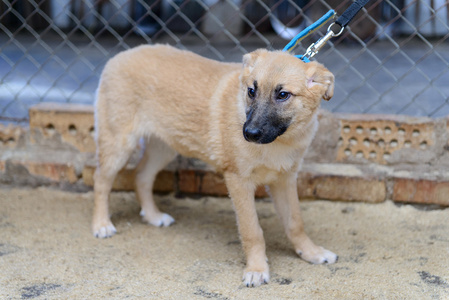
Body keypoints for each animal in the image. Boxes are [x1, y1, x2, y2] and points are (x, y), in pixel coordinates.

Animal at [93, 44, 336, 286]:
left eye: (283, 95)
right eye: (251, 91)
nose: (249, 133)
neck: (281, 141)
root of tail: (121, 55)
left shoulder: (285, 179)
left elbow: (295, 222)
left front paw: (311, 252)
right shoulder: (238, 181)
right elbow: (252, 230)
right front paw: (257, 268)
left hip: (164, 147)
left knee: (141, 175)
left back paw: (153, 216)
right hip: (119, 144)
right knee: (101, 180)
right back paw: (101, 224)